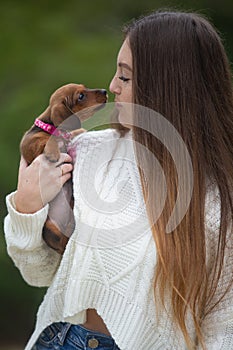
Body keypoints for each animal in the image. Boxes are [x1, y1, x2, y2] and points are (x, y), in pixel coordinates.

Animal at [20, 85, 107, 254]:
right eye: (81, 96)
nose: (105, 91)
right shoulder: (30, 144)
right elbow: (48, 139)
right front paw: (53, 151)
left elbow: (72, 133)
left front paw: (80, 132)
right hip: (48, 229)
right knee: (61, 244)